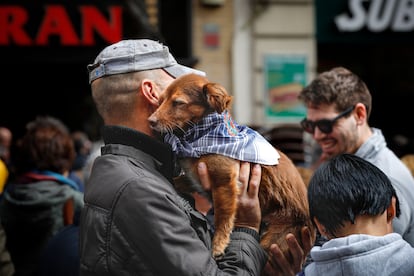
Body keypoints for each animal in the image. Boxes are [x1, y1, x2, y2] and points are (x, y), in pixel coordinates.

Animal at [149, 73, 314, 260]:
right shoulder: (194, 178)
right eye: (161, 100)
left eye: (178, 102)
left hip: (274, 244)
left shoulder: (224, 182)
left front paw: (218, 244)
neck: (200, 137)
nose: (151, 121)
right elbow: (178, 180)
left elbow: (222, 216)